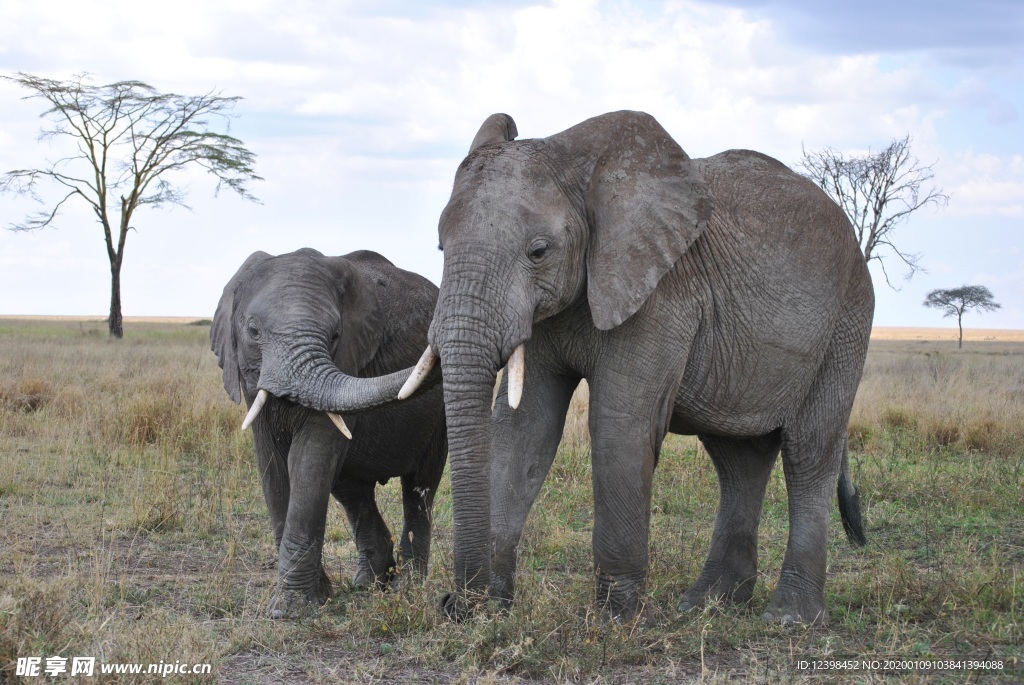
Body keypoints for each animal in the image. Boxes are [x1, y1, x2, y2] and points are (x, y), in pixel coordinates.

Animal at [209, 248, 446, 618]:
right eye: (253, 331)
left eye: (334, 336)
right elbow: (273, 466)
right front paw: (314, 598)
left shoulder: (348, 359)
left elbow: (309, 459)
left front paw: (291, 610)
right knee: (352, 490)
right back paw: (368, 583)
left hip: (439, 418)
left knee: (419, 487)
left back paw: (405, 589)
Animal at [395, 111, 876, 626]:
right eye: (441, 248)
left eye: (538, 251)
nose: (454, 604)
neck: (579, 165)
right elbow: (524, 429)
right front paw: (492, 610)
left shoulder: (661, 293)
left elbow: (618, 426)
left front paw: (615, 621)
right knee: (737, 458)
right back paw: (707, 604)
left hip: (847, 319)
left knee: (809, 449)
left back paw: (789, 618)